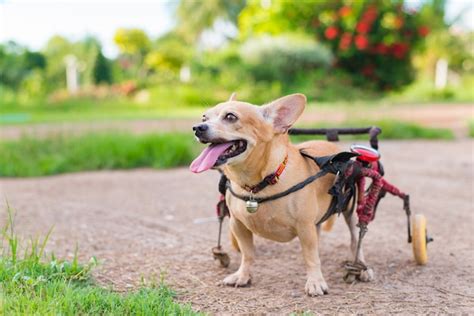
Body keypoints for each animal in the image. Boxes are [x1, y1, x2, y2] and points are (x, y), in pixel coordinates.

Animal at [191, 92, 372, 296]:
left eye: (231, 117)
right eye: (204, 118)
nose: (197, 128)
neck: (260, 183)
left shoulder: (304, 227)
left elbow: (311, 257)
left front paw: (315, 281)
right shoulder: (238, 225)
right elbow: (247, 254)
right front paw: (243, 275)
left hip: (350, 210)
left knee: (356, 239)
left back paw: (361, 267)